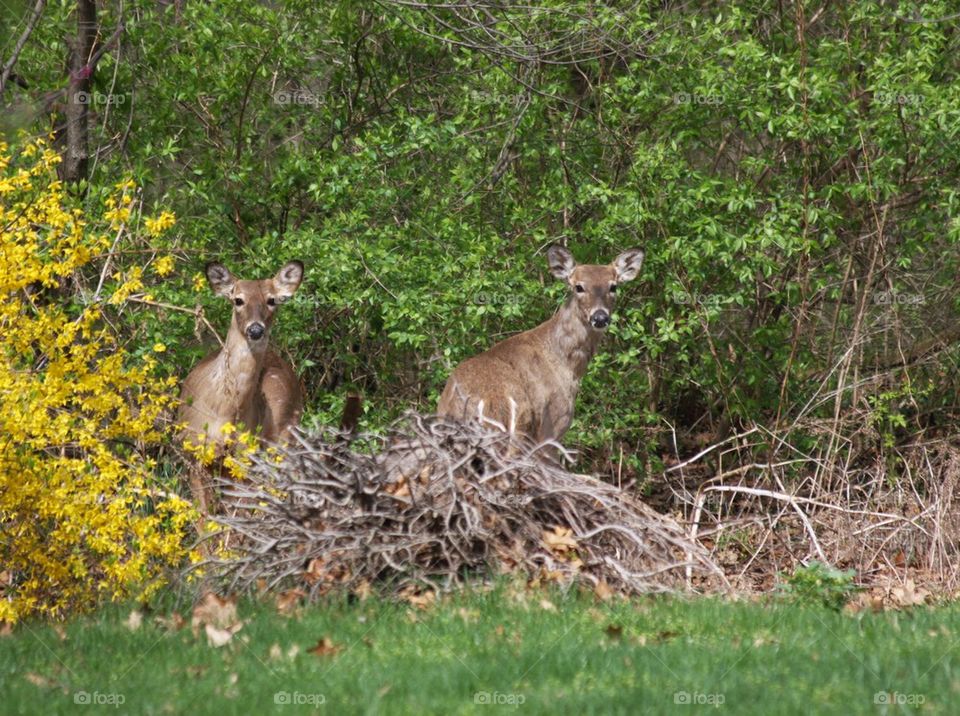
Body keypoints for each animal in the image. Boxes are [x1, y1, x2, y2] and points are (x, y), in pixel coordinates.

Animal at [178, 260, 305, 517]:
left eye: (272, 300)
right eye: (238, 299)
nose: (255, 330)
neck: (222, 410)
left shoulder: (242, 461)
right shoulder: (194, 453)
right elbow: (204, 517)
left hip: (283, 441)